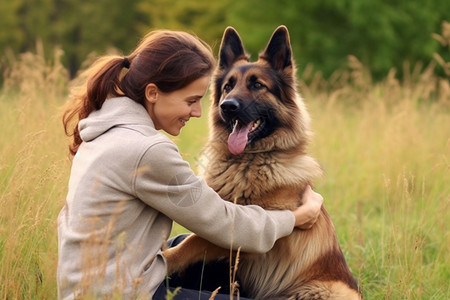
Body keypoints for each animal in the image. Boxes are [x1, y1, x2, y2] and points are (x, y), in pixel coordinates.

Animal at [163, 25, 360, 300]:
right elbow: (193, 237)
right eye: (228, 86)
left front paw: (165, 258)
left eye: (257, 85)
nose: (227, 106)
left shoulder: (249, 236)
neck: (247, 162)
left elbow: (192, 242)